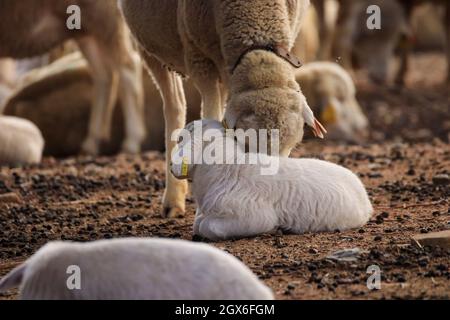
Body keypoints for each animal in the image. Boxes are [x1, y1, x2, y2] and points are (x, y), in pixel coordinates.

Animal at [0, 0, 145, 155]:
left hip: (105, 16)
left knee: (128, 70)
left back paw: (131, 142)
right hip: (84, 32)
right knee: (103, 75)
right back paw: (92, 141)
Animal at [119, 0, 324, 218]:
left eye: (291, 146)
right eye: (247, 145)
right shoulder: (198, 56)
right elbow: (210, 113)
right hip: (148, 47)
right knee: (174, 104)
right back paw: (173, 200)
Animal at [171, 121, 372, 241]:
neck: (226, 167)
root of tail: (365, 199)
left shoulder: (253, 217)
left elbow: (206, 226)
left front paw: (275, 229)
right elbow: (198, 223)